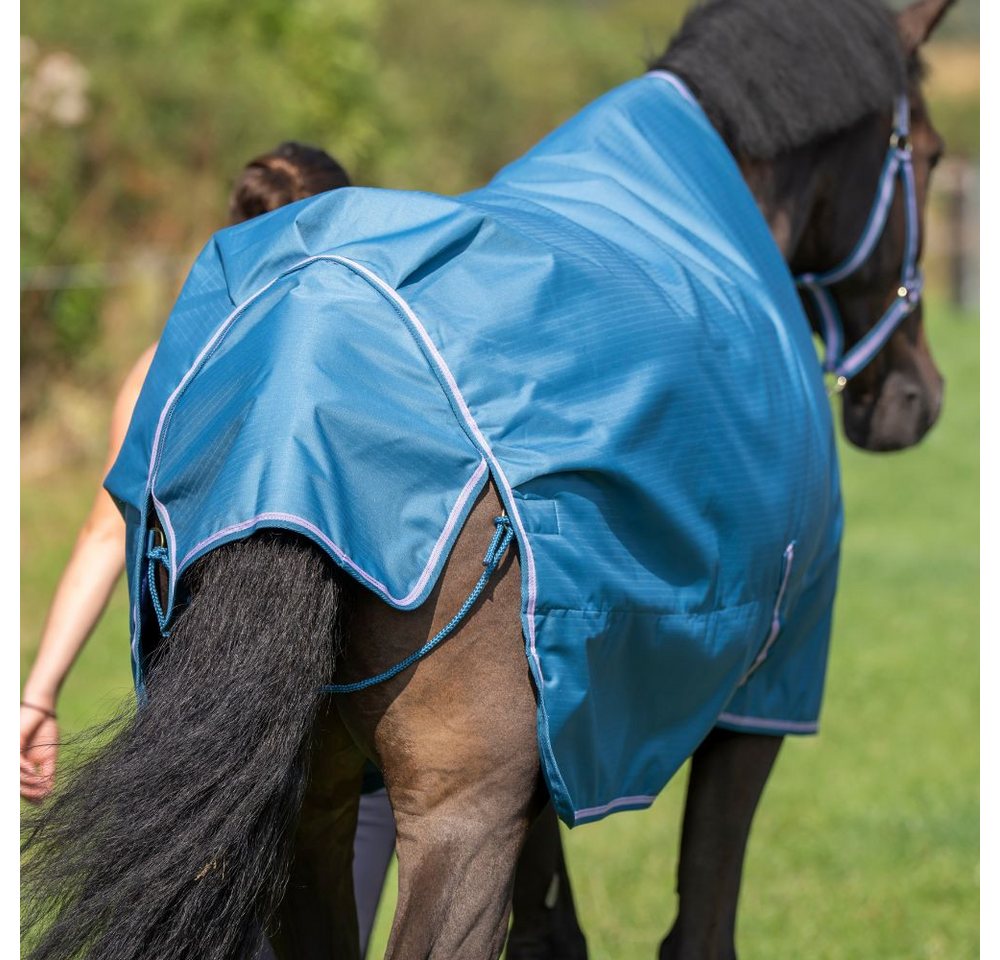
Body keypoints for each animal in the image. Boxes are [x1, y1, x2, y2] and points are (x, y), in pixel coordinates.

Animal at [21, 0, 954, 958]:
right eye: (929, 152)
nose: (913, 400)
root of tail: (291, 388)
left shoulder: (556, 740)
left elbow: (552, 928)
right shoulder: (763, 691)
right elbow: (700, 922)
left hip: (314, 809)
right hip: (457, 814)